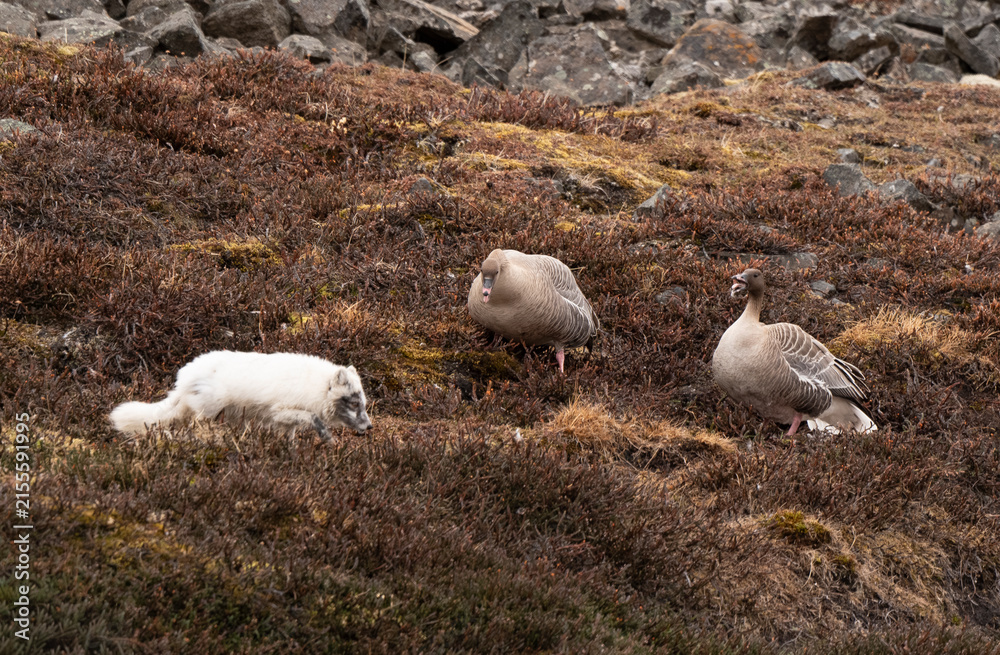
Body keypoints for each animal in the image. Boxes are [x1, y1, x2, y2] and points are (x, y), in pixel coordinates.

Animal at [110, 350, 372, 441]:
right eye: (354, 403)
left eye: (364, 403)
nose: (369, 427)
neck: (315, 386)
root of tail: (183, 379)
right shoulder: (281, 411)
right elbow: (315, 420)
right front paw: (326, 436)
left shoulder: (284, 422)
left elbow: (290, 438)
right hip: (209, 411)